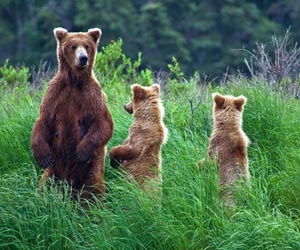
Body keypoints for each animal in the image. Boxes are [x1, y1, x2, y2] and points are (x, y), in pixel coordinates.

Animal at [30, 27, 113, 200]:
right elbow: (44, 120)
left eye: (87, 46)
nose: (83, 58)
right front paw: (42, 156)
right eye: (73, 46)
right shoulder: (55, 93)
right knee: (44, 184)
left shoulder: (92, 95)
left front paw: (82, 151)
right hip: (54, 171)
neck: (75, 81)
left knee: (93, 189)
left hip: (91, 170)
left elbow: (103, 122)